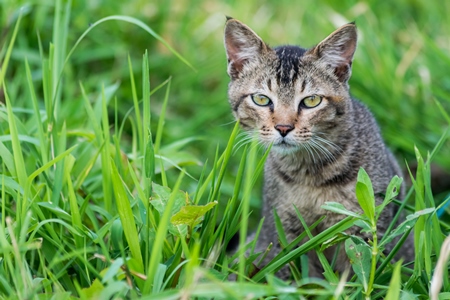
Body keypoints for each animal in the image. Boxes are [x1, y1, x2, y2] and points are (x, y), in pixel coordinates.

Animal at [221, 17, 412, 278]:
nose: (283, 127)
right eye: (261, 99)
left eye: (311, 101)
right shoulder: (283, 236)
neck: (311, 174)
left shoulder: (368, 229)